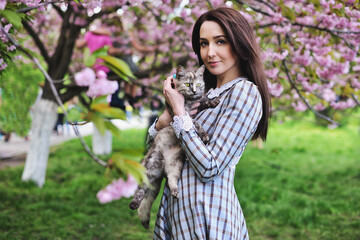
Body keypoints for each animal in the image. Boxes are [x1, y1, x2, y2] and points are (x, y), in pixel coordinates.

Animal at [129, 64, 219, 229]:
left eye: (198, 84)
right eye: (188, 84)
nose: (194, 91)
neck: (188, 101)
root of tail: (161, 169)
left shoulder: (196, 104)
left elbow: (203, 100)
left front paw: (213, 101)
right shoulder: (178, 113)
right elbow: (195, 122)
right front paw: (204, 135)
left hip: (175, 166)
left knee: (171, 181)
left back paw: (175, 192)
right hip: (150, 167)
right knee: (140, 190)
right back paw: (133, 203)